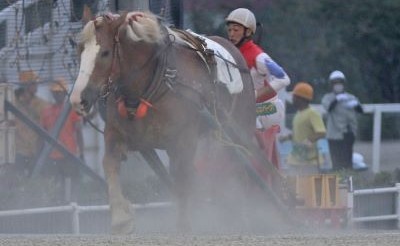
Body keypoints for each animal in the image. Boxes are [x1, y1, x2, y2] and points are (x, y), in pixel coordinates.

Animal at [71, 12, 266, 234]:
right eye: (80, 50)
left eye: (105, 52)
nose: (78, 99)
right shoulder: (117, 133)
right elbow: (110, 164)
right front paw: (121, 219)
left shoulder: (184, 140)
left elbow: (183, 178)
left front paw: (184, 225)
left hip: (236, 135)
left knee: (237, 172)